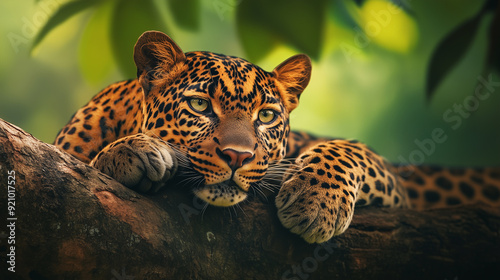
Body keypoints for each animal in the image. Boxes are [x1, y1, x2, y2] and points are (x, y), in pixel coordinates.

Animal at [53, 30, 500, 244]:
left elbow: (344, 148)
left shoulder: (394, 187)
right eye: (199, 105)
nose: (237, 156)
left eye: (266, 116)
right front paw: (131, 151)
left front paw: (315, 203)